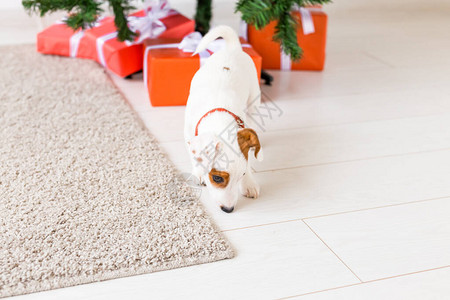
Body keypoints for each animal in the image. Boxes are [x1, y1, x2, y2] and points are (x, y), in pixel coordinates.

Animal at [183, 25, 262, 213]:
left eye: (242, 175)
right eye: (217, 178)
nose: (228, 209)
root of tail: (232, 49)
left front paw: (249, 182)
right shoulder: (188, 132)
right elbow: (192, 153)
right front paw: (198, 172)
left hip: (254, 98)